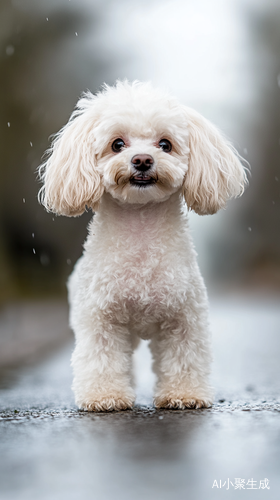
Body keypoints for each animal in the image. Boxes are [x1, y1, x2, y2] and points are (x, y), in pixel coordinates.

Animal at [38, 81, 247, 410]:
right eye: (117, 144)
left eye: (165, 144)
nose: (142, 160)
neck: (141, 226)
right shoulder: (101, 320)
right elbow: (102, 358)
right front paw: (105, 396)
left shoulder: (185, 317)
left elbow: (185, 356)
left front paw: (184, 394)